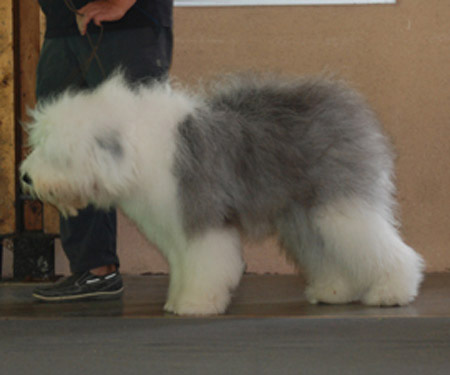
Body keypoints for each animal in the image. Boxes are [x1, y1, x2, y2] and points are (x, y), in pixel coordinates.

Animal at [20, 72, 422, 314]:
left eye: (55, 152)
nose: (24, 177)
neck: (136, 147)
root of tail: (348, 104)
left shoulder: (200, 216)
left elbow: (207, 263)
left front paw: (195, 304)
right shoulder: (175, 226)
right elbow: (183, 265)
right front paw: (177, 300)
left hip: (339, 204)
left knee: (380, 246)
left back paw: (393, 292)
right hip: (305, 214)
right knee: (327, 251)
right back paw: (334, 291)